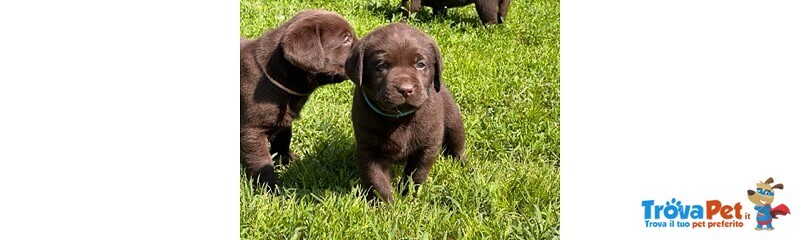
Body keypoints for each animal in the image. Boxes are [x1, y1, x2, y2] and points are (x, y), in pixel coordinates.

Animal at [239, 9, 358, 189]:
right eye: (346, 39)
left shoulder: (285, 120)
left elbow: (283, 140)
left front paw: (287, 161)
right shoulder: (253, 132)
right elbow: (261, 163)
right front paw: (271, 189)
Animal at [346, 23, 468, 202]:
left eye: (420, 64)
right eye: (382, 65)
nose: (405, 89)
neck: (399, 118)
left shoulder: (427, 147)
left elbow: (416, 174)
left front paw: (407, 196)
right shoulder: (369, 150)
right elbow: (377, 181)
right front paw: (385, 205)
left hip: (453, 121)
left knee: (457, 144)